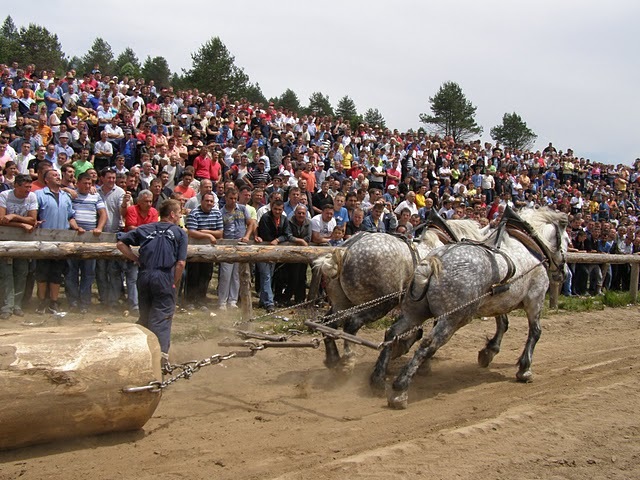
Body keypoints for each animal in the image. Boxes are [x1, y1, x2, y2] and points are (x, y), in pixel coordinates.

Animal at [312, 218, 488, 372]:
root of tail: (346, 250)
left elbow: (413, 331)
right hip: (380, 304)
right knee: (352, 324)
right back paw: (347, 362)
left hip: (340, 303)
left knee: (328, 324)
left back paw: (333, 359)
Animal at [384, 206, 568, 408]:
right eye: (567, 240)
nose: (564, 272)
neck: (527, 245)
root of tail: (433, 262)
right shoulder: (535, 298)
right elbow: (535, 332)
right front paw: (524, 369)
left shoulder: (497, 301)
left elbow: (503, 324)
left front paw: (489, 351)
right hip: (453, 318)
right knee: (428, 345)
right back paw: (400, 389)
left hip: (414, 312)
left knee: (393, 332)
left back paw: (379, 375)